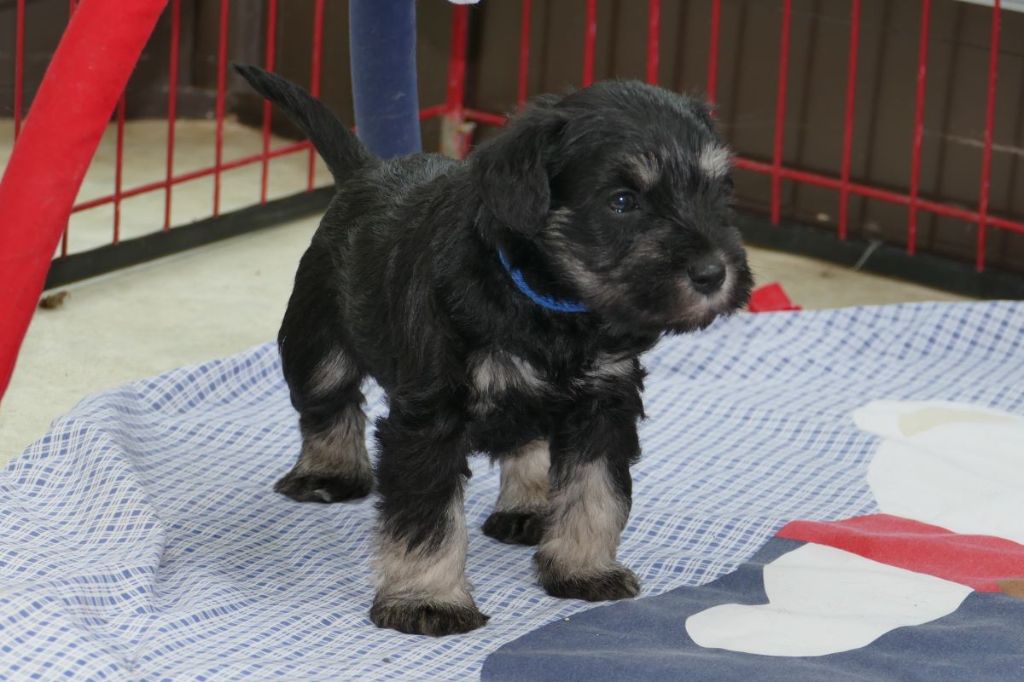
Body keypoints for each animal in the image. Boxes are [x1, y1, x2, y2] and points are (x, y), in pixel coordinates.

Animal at [236, 65, 752, 637]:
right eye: (622, 201)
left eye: (718, 189)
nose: (713, 273)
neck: (551, 302)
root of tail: (363, 174)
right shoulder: (430, 419)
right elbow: (428, 519)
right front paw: (428, 600)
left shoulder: (605, 404)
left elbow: (596, 492)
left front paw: (584, 569)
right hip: (318, 345)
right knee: (328, 404)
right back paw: (329, 474)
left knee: (528, 441)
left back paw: (529, 508)